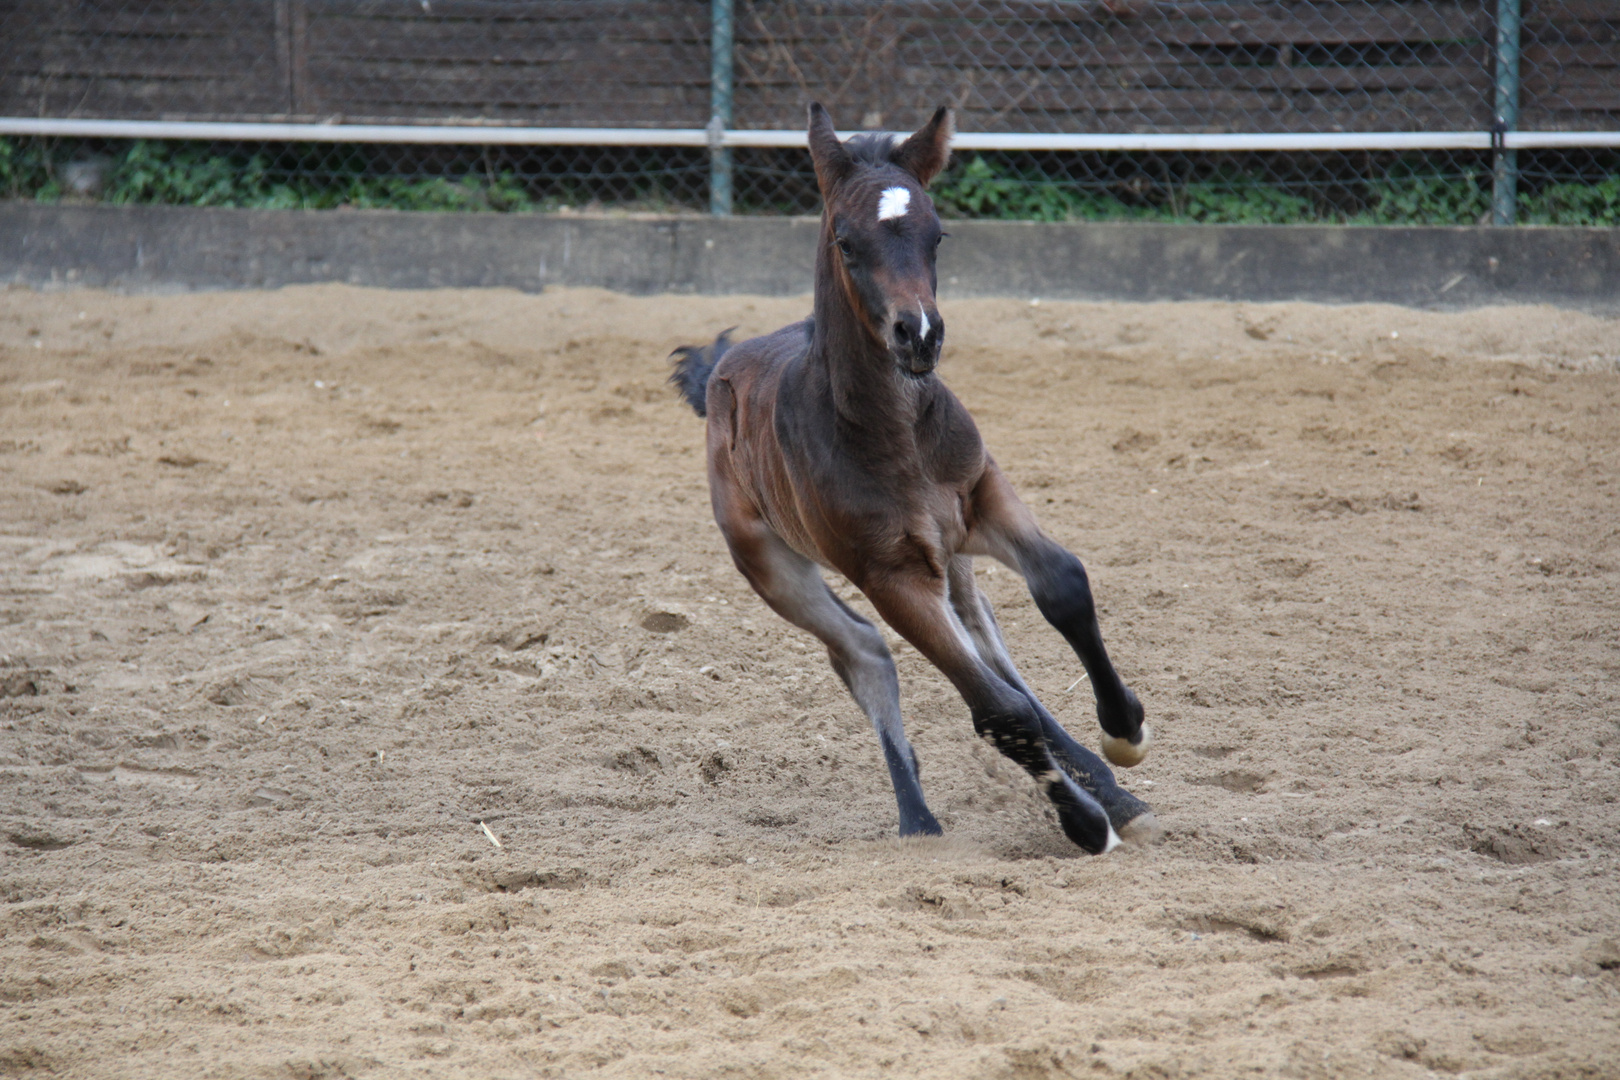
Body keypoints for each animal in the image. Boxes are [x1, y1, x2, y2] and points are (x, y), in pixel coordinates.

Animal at [667, 105, 1153, 854]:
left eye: (937, 234)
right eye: (846, 241)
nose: (918, 334)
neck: (893, 434)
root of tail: (721, 368)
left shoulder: (983, 494)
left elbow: (1063, 586)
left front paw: (1124, 732)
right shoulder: (890, 573)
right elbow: (997, 710)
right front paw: (1083, 824)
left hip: (953, 558)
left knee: (988, 644)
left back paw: (1111, 787)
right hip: (770, 563)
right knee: (865, 652)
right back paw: (919, 815)